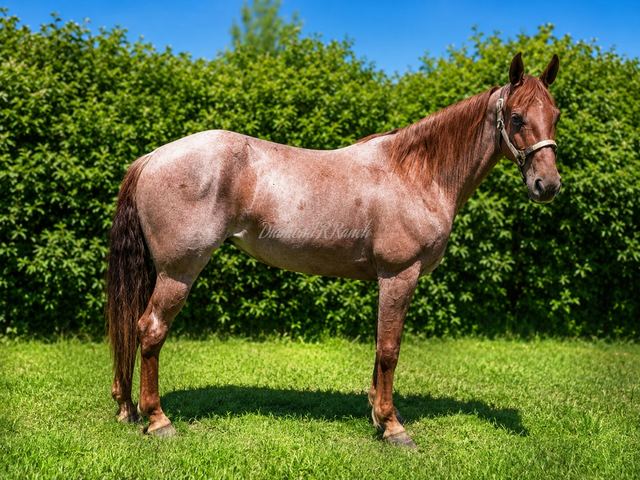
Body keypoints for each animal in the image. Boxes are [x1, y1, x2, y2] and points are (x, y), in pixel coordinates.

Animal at [107, 53, 561, 447]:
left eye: (555, 115)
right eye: (517, 117)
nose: (548, 185)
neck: (416, 173)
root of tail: (152, 157)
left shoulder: (385, 281)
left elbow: (380, 344)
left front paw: (378, 414)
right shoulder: (399, 275)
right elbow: (390, 349)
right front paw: (393, 427)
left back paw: (127, 407)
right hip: (178, 272)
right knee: (151, 329)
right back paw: (157, 419)